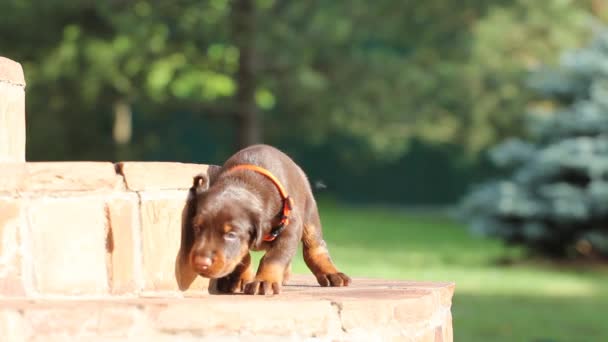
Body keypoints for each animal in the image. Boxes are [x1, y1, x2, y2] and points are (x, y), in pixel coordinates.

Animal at [186, 144, 352, 294]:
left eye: (231, 234)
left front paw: (265, 280)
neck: (243, 182)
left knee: (315, 246)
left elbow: (274, 257)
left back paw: (331, 273)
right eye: (197, 227)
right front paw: (239, 278)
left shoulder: (291, 228)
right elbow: (244, 256)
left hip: (309, 213)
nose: (200, 263)